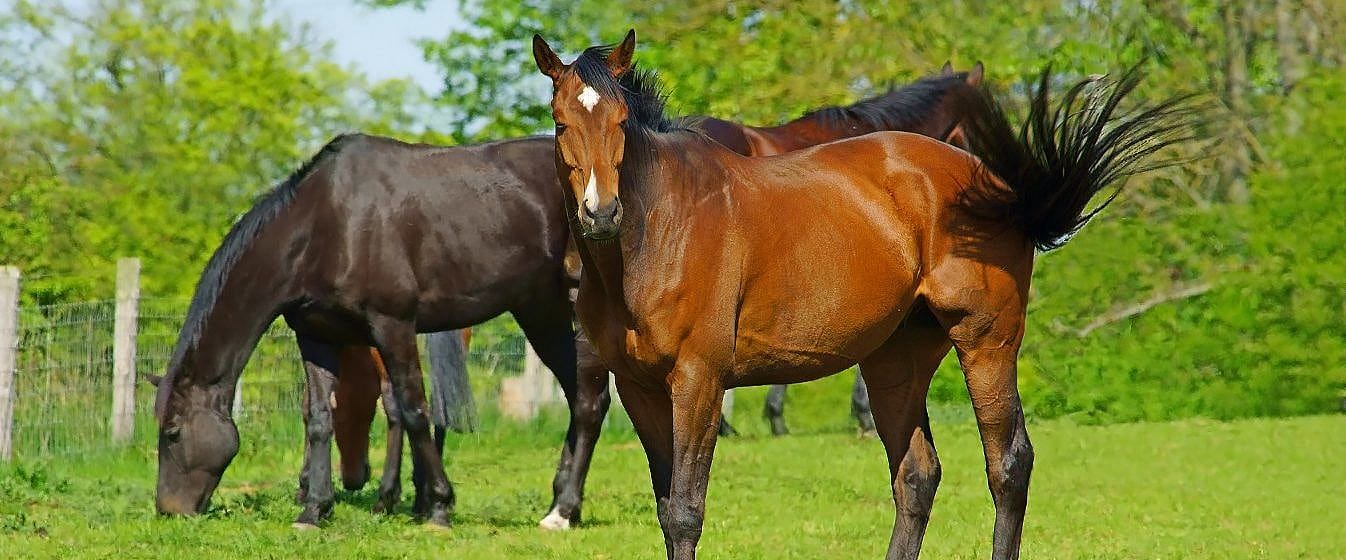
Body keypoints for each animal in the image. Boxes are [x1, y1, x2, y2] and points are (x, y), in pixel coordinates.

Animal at [151, 134, 613, 529]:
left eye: (172, 433)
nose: (168, 509)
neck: (327, 224)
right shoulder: (317, 336)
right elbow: (320, 418)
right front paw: (314, 510)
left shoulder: (393, 326)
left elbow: (414, 410)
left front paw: (438, 505)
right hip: (537, 310)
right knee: (577, 397)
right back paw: (560, 503)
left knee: (590, 400)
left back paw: (563, 510)